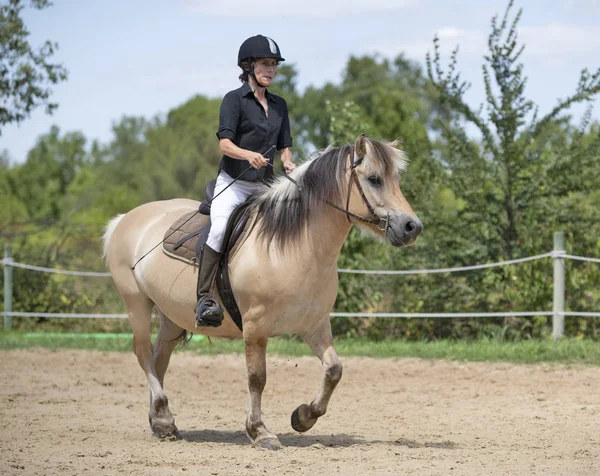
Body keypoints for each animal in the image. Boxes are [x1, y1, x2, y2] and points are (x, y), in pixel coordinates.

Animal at [102, 135, 422, 450]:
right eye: (374, 179)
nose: (412, 227)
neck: (295, 246)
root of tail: (125, 219)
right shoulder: (255, 327)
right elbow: (257, 378)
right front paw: (259, 431)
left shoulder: (314, 325)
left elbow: (334, 370)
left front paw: (302, 417)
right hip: (136, 304)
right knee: (144, 354)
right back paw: (163, 415)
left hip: (171, 316)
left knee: (160, 360)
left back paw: (161, 421)